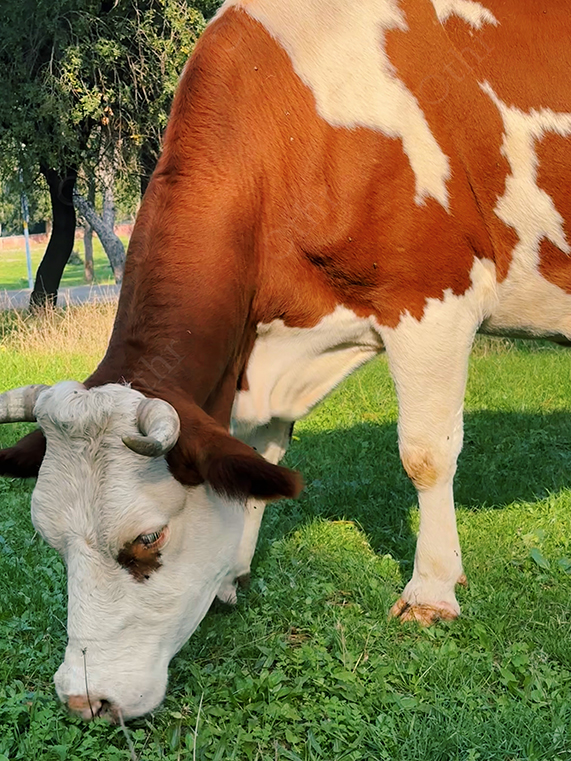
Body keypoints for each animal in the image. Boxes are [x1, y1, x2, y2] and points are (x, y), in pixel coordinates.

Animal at [1, 0, 570, 722]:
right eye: (49, 540)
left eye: (148, 539)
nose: (82, 698)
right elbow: (256, 460)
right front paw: (231, 575)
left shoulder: (433, 298)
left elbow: (425, 453)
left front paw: (432, 591)